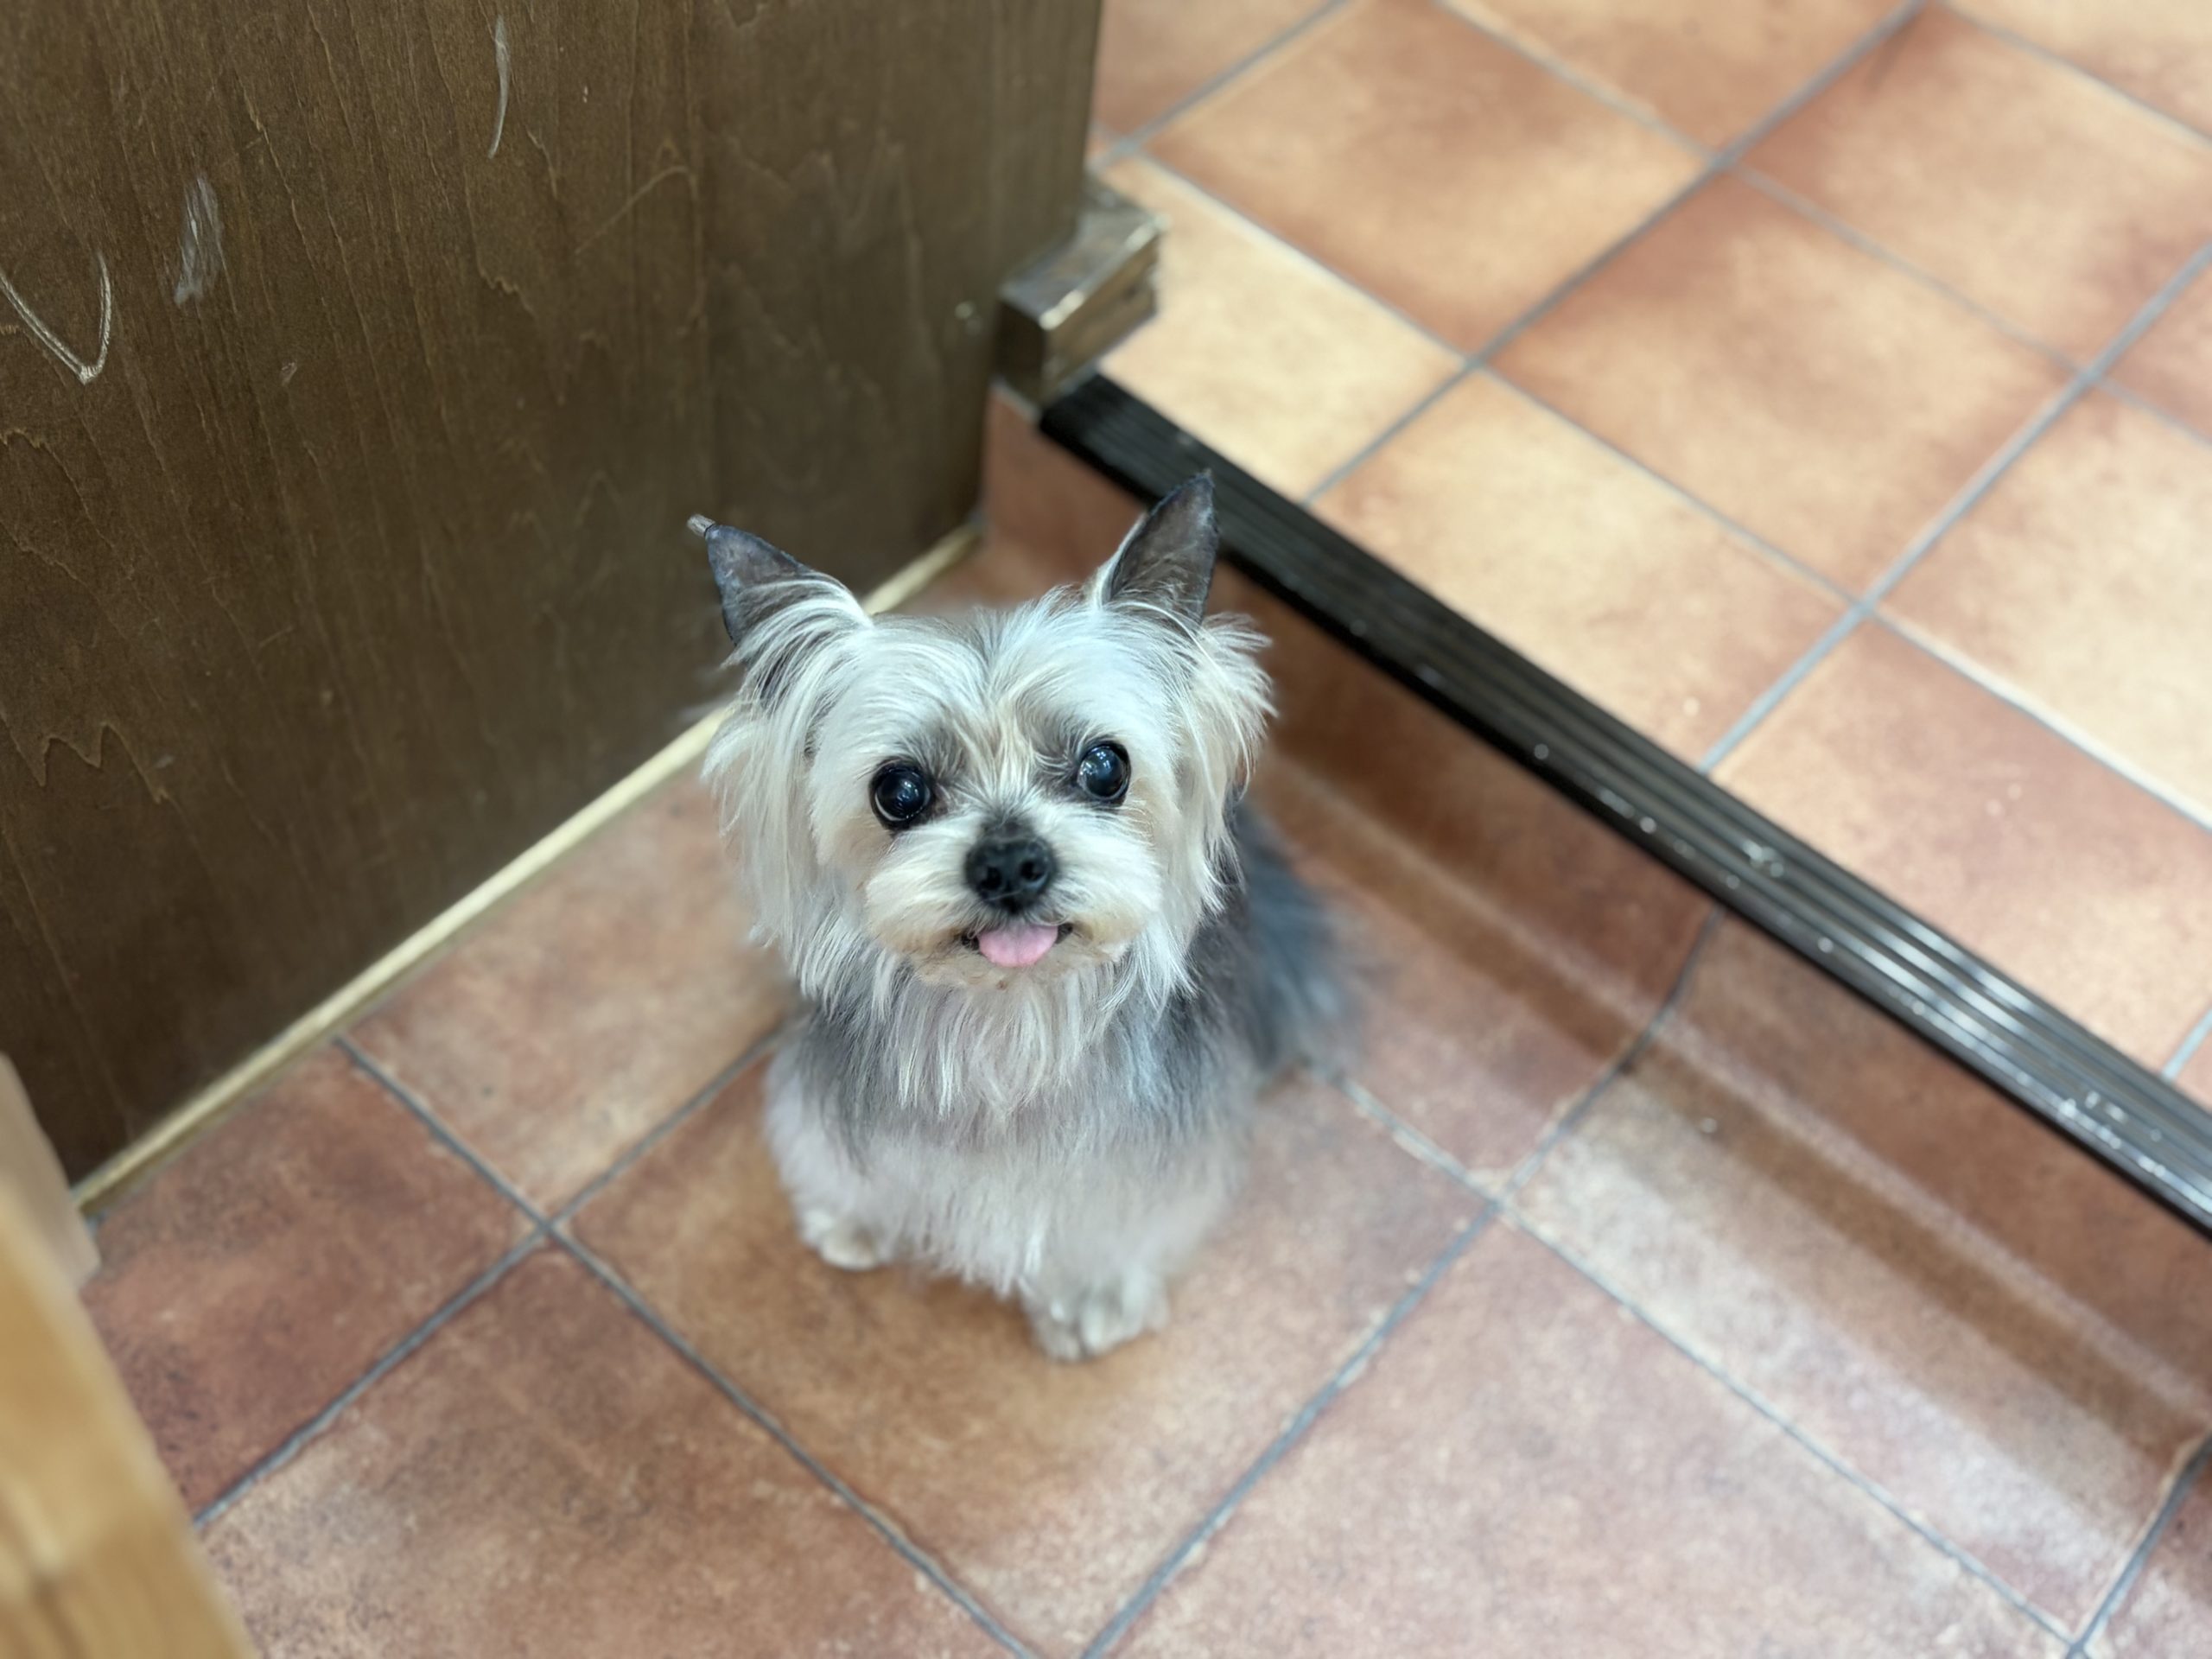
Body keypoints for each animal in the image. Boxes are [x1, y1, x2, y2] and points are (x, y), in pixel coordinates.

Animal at [692, 478, 1344, 1359]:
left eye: (1105, 766)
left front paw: (1096, 1292)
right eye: (899, 790)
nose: (1009, 863)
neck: (1009, 1014)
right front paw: (854, 1214)